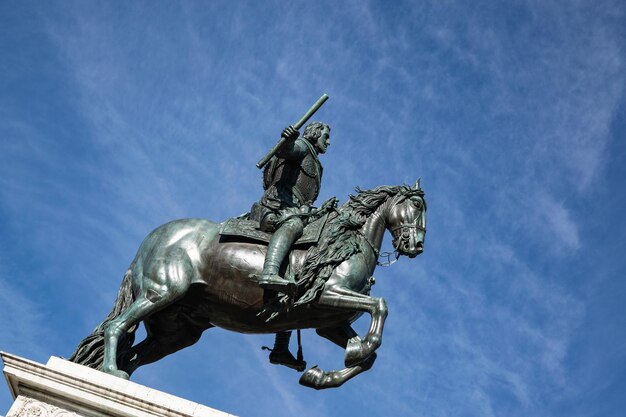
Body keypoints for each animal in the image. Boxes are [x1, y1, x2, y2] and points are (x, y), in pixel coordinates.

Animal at [70, 181, 426, 386]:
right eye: (417, 205)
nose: (417, 245)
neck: (346, 239)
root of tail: (150, 243)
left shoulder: (330, 322)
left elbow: (368, 359)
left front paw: (322, 374)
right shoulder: (325, 295)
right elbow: (380, 307)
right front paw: (359, 348)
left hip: (176, 331)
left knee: (135, 355)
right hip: (162, 292)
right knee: (116, 327)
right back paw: (111, 371)